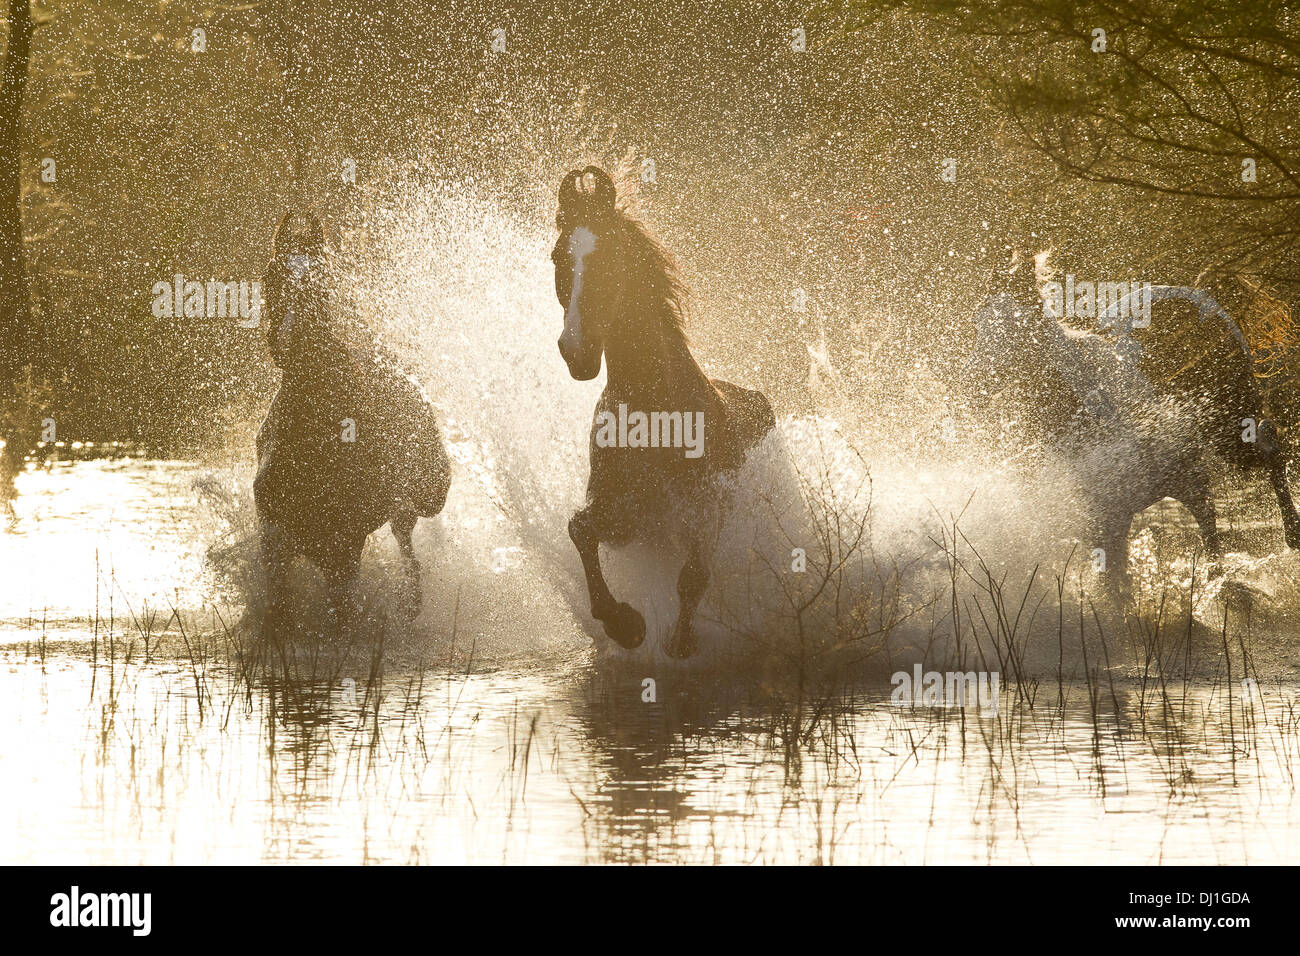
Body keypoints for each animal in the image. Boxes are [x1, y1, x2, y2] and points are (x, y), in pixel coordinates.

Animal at [254, 211, 451, 636]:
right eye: (270, 275)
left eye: (324, 278)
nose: (292, 340)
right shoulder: (276, 533)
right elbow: (279, 601)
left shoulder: (344, 540)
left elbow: (343, 606)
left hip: (429, 493)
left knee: (407, 534)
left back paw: (412, 600)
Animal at [551, 167, 775, 658]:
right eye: (557, 257)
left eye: (609, 258)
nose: (575, 351)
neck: (656, 415)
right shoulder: (627, 517)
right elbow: (581, 529)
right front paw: (624, 623)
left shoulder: (707, 507)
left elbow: (694, 575)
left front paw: (681, 639)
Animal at [955, 279, 1300, 588]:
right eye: (978, 325)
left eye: (1012, 332)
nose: (967, 386)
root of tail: (1199, 296)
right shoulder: (1106, 521)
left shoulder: (1187, 477)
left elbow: (1209, 530)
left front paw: (1217, 581)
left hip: (1232, 428)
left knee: (1271, 448)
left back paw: (1293, 533)